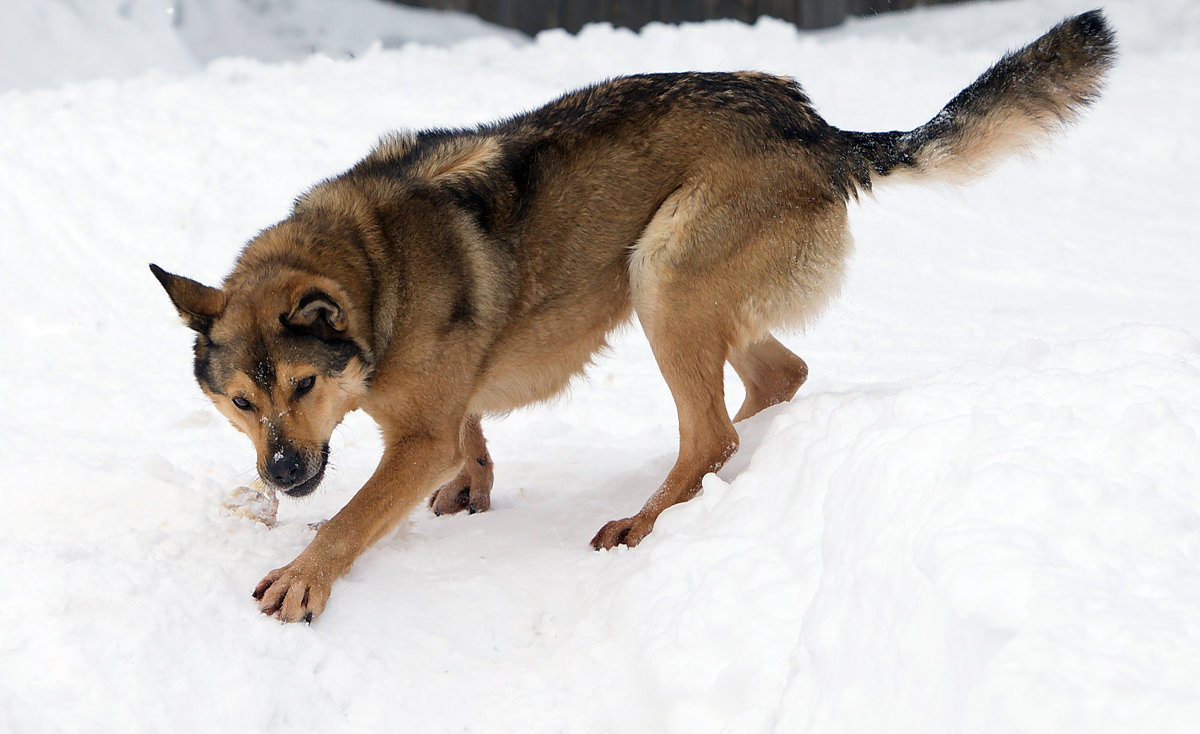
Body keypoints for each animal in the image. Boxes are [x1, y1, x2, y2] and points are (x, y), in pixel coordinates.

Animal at [150, 11, 1113, 618]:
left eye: (302, 385)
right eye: (241, 402)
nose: (280, 474)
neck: (375, 273)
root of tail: (812, 124)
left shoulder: (412, 435)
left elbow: (356, 515)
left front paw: (304, 578)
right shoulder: (436, 410)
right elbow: (468, 437)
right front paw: (473, 483)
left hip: (660, 272)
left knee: (712, 431)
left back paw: (651, 517)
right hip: (686, 287)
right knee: (776, 378)